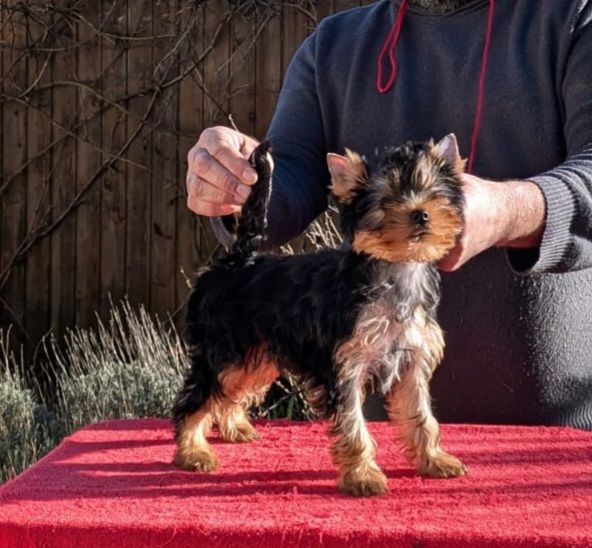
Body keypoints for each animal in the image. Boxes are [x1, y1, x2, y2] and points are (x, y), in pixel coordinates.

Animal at [173, 134, 470, 496]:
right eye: (386, 199)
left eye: (432, 191)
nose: (420, 214)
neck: (396, 270)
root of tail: (238, 261)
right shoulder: (344, 368)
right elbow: (354, 424)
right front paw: (362, 476)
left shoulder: (412, 361)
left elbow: (422, 415)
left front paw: (434, 460)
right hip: (224, 349)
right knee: (198, 397)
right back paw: (193, 450)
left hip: (256, 353)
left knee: (232, 389)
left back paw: (233, 427)